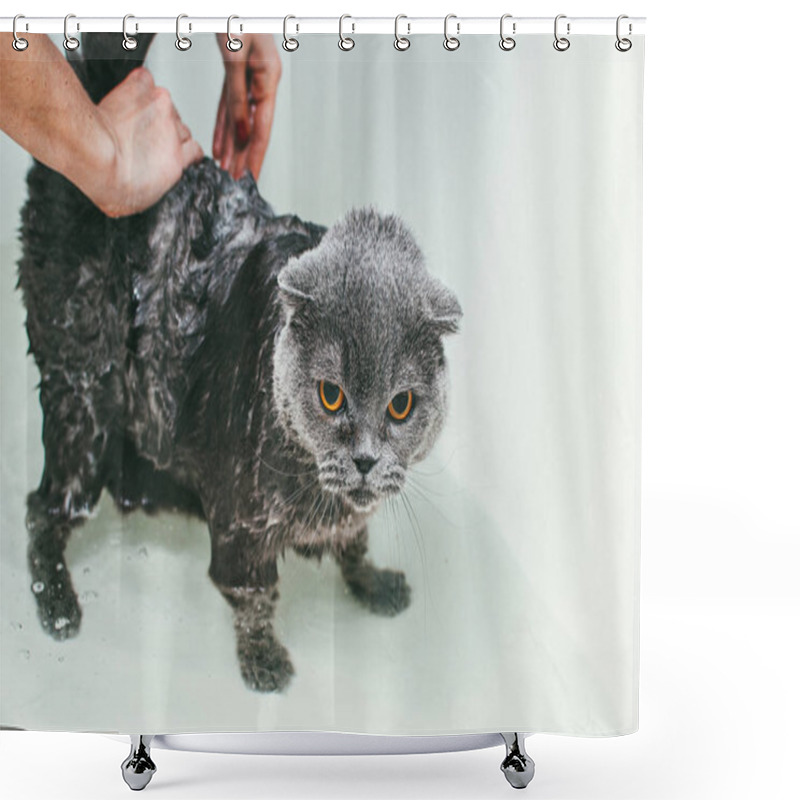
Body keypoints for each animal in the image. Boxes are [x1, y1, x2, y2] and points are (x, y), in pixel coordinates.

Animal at [15, 34, 460, 692]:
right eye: (331, 394)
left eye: (400, 405)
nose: (363, 460)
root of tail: (100, 92)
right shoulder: (239, 528)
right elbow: (253, 597)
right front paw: (265, 661)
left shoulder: (345, 516)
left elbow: (354, 545)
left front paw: (373, 585)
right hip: (84, 398)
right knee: (42, 511)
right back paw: (58, 604)